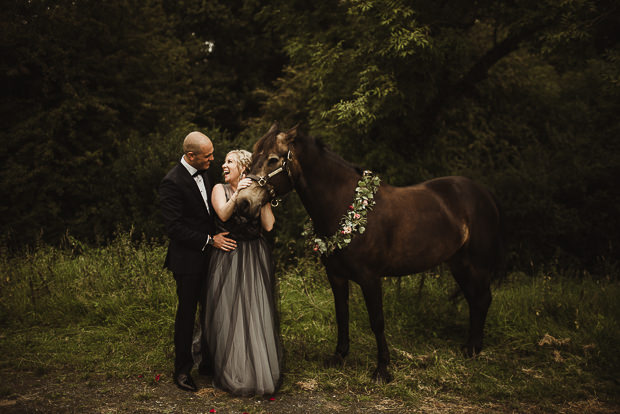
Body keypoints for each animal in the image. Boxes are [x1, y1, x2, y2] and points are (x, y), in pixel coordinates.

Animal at [236, 122, 504, 382]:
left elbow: (377, 321)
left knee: (482, 299)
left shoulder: (370, 279)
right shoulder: (336, 276)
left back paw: (473, 349)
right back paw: (470, 347)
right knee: (475, 300)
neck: (344, 207)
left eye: (273, 159)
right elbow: (342, 314)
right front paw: (339, 356)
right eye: (252, 159)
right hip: (459, 264)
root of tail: (484, 193)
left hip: (476, 265)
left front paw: (382, 370)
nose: (243, 203)